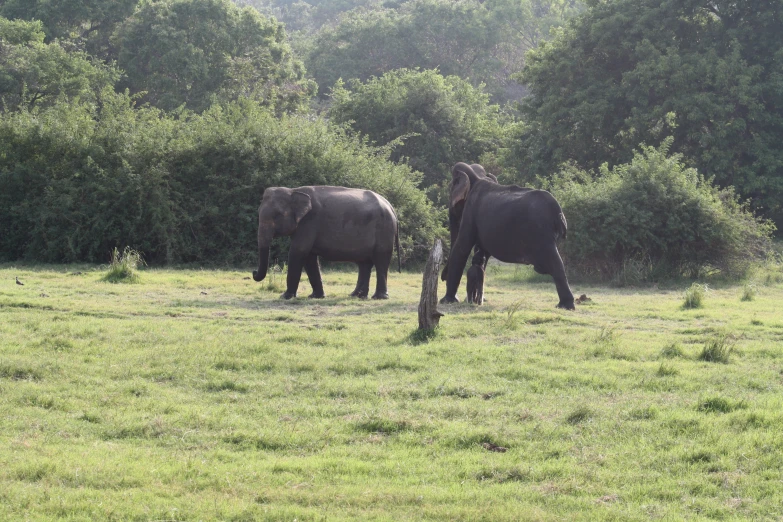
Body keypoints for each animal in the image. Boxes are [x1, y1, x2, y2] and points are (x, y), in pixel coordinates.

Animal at [440, 162, 576, 308]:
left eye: (450, 192)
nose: (442, 277)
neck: (477, 176)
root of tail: (558, 211)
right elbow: (483, 253)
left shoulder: (470, 210)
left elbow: (462, 247)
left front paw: (447, 301)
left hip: (541, 234)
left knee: (555, 262)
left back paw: (565, 306)